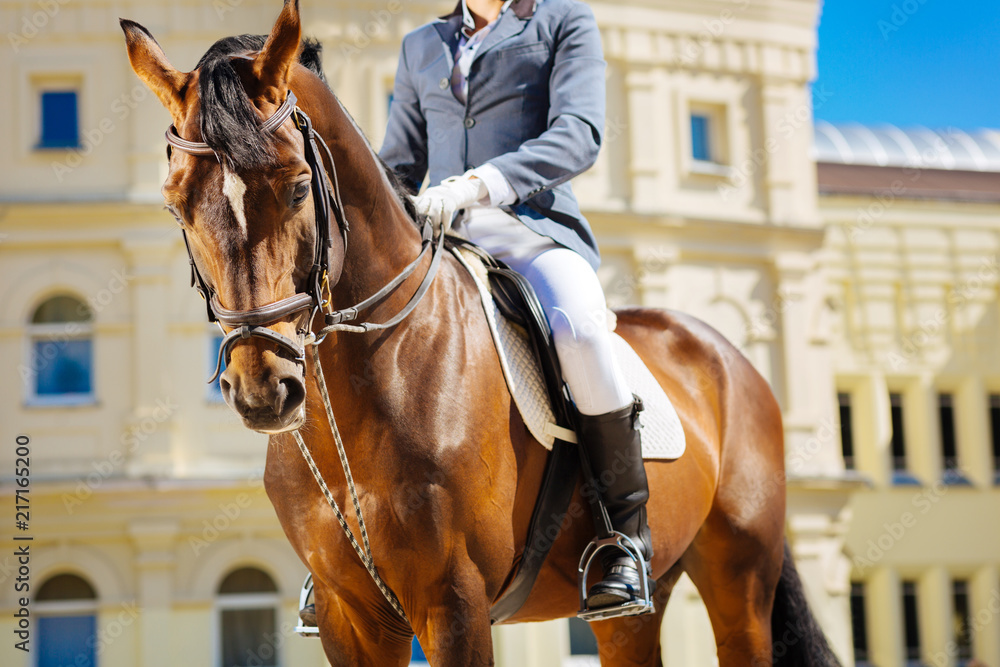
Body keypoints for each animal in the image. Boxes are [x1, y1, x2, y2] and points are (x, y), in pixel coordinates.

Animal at [120, 1, 842, 665]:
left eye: (299, 187)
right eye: (176, 204)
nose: (262, 388)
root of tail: (722, 352)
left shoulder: (454, 602)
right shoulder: (348, 613)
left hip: (739, 579)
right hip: (637, 610)